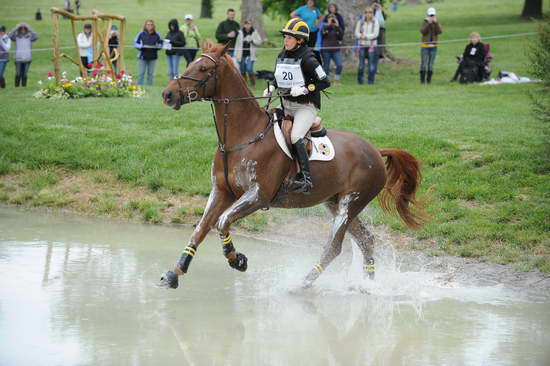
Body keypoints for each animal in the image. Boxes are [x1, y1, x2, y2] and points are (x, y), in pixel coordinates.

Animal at [160, 44, 426, 288]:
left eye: (204, 68)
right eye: (190, 64)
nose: (167, 95)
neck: (243, 136)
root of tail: (375, 151)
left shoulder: (258, 196)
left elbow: (222, 222)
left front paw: (237, 260)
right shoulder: (222, 191)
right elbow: (201, 227)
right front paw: (175, 272)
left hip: (351, 203)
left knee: (334, 246)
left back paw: (302, 283)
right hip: (336, 203)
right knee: (366, 240)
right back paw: (367, 284)